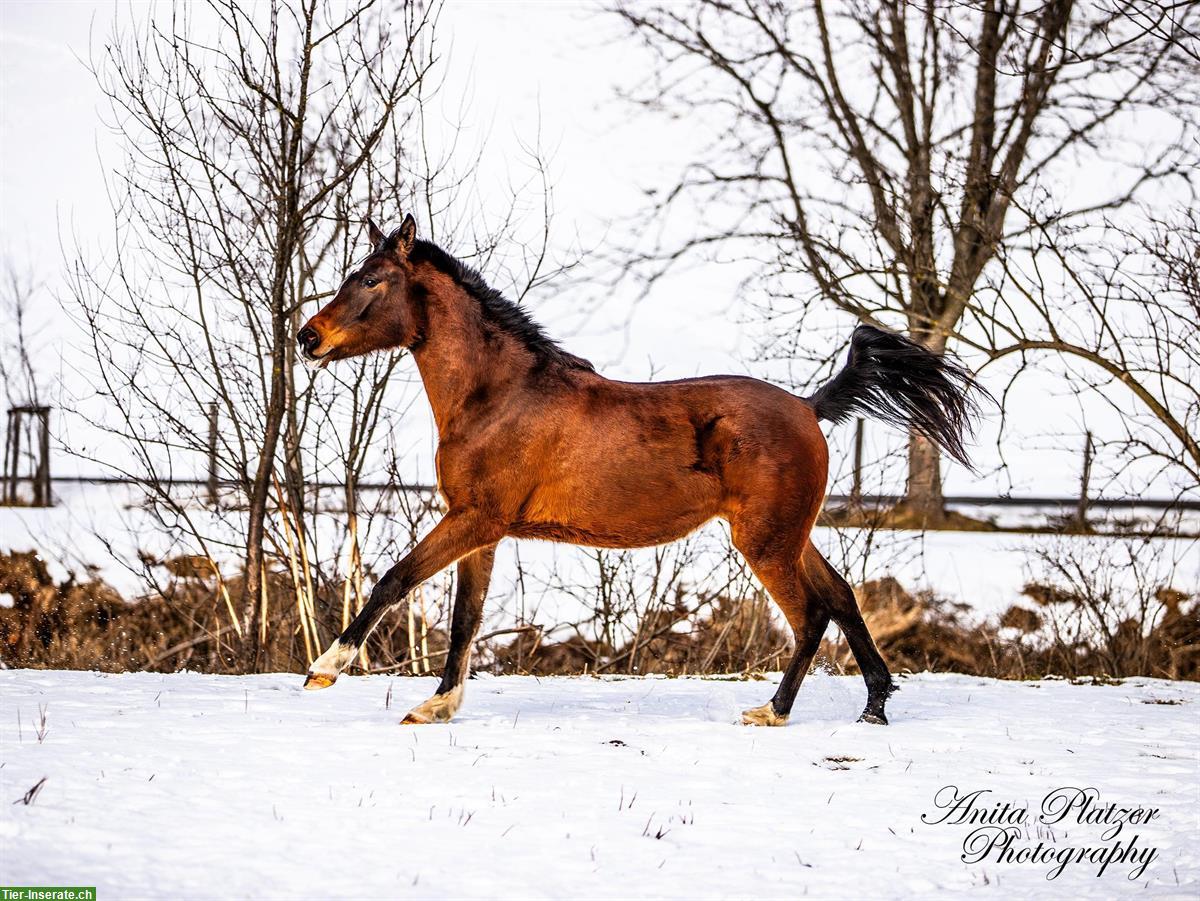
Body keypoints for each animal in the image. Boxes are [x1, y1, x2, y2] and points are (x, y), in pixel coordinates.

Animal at [295, 214, 979, 729]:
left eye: (372, 279)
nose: (308, 337)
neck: (499, 395)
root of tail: (809, 407)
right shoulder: (481, 530)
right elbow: (466, 619)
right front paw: (437, 705)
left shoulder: (474, 519)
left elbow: (393, 581)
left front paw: (326, 667)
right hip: (788, 534)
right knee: (839, 596)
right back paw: (874, 706)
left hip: (765, 540)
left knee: (811, 614)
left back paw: (773, 711)